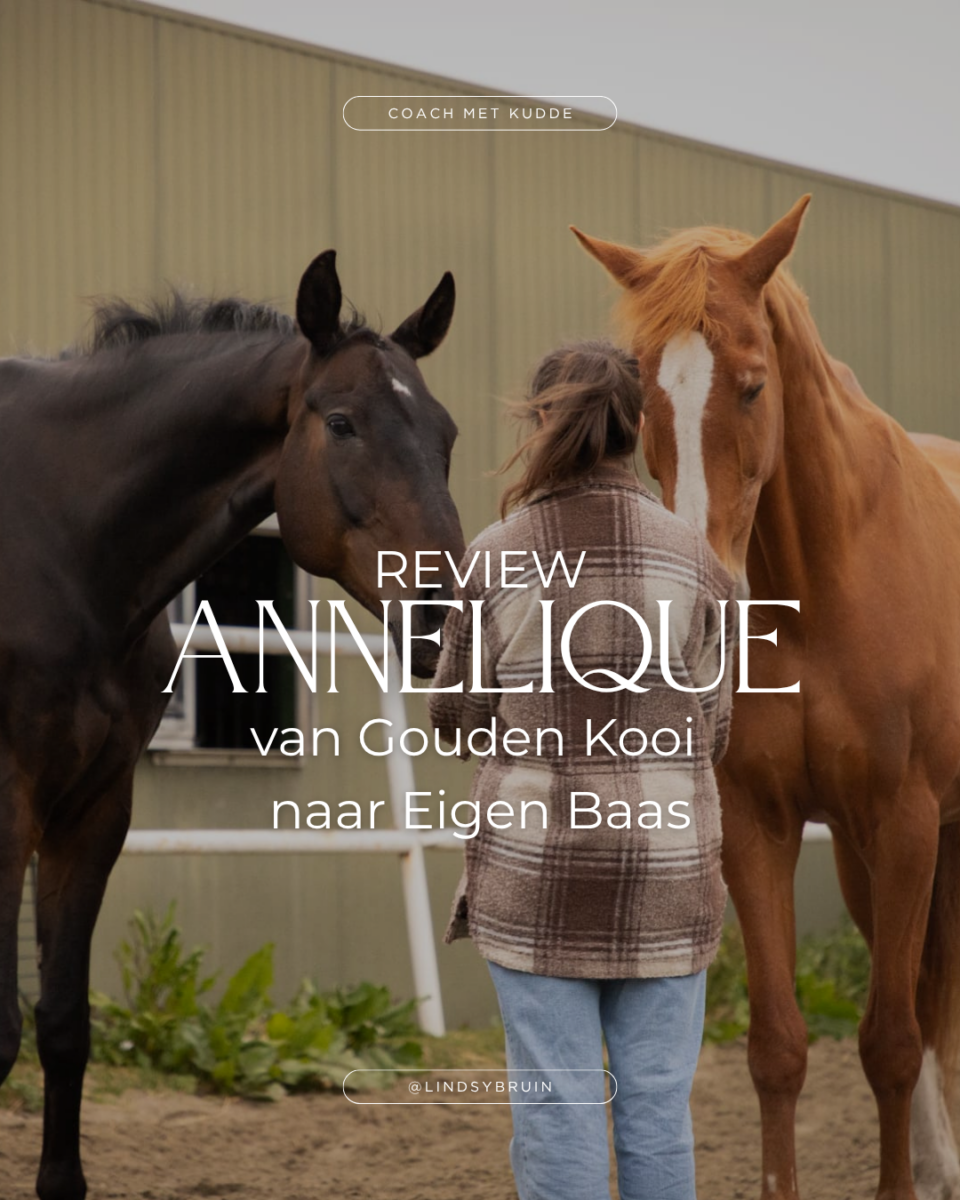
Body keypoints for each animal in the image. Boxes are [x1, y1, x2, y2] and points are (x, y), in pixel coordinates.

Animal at [0, 250, 465, 1200]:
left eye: (446, 434)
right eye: (341, 423)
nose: (447, 617)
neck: (56, 537)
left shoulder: (91, 811)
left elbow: (62, 1022)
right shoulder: (7, 800)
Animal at [572, 198, 960, 1200]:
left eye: (751, 386)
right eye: (643, 396)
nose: (698, 604)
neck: (819, 587)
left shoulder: (903, 819)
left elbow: (889, 1043)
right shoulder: (762, 825)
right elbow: (781, 1049)